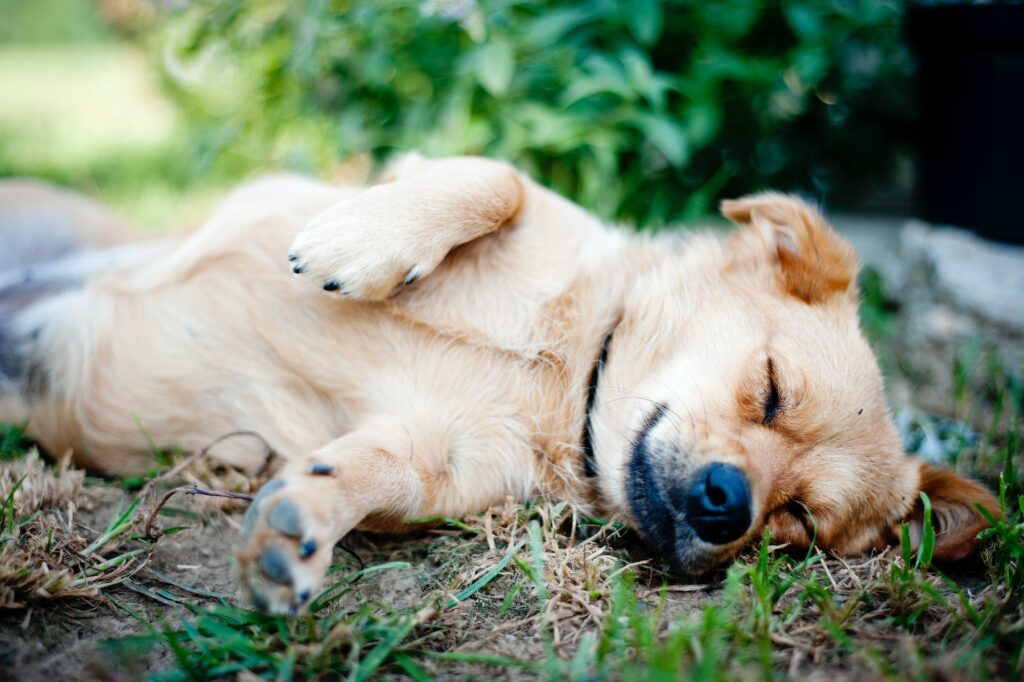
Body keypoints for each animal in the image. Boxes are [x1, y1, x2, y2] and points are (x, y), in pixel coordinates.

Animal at [0, 153, 999, 610]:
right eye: (771, 386)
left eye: (797, 524)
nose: (726, 508)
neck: (571, 379)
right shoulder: (472, 190)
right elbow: (496, 179)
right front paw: (360, 243)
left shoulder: (430, 461)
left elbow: (364, 474)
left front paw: (302, 524)